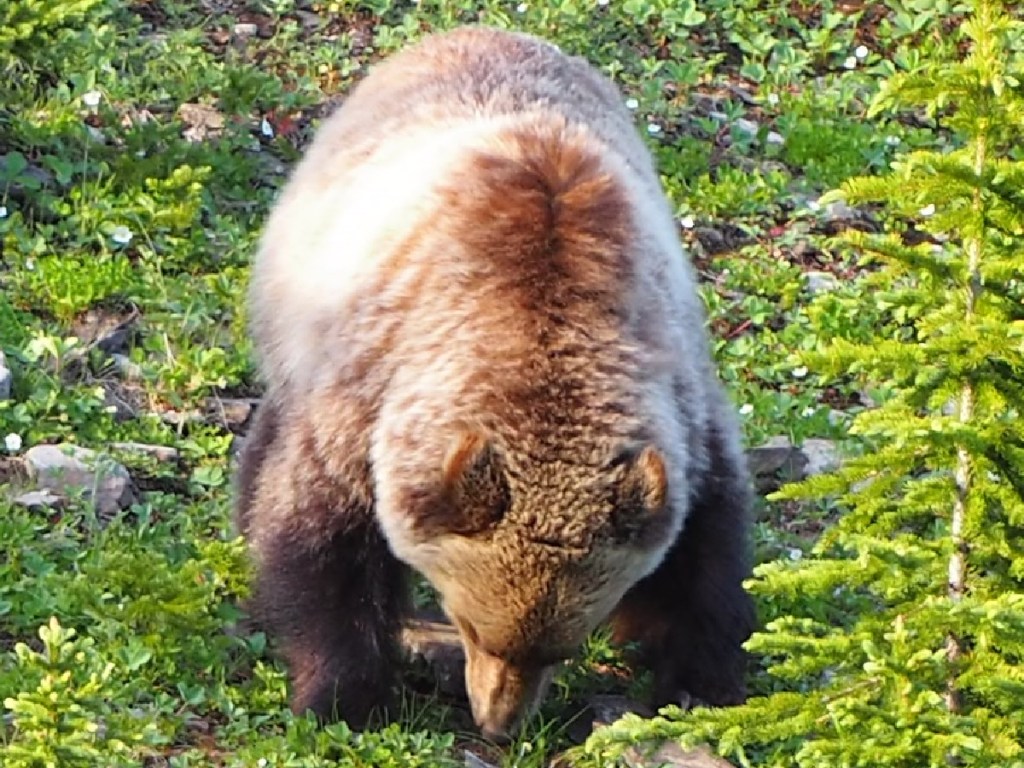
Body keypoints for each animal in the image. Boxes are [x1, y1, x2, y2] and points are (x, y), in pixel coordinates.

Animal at [235, 25, 756, 740]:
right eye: (471, 624)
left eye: (562, 646)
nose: (499, 724)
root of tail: (472, 31)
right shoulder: (369, 390)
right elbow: (320, 537)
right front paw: (344, 696)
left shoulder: (679, 403)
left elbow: (705, 555)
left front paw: (697, 683)